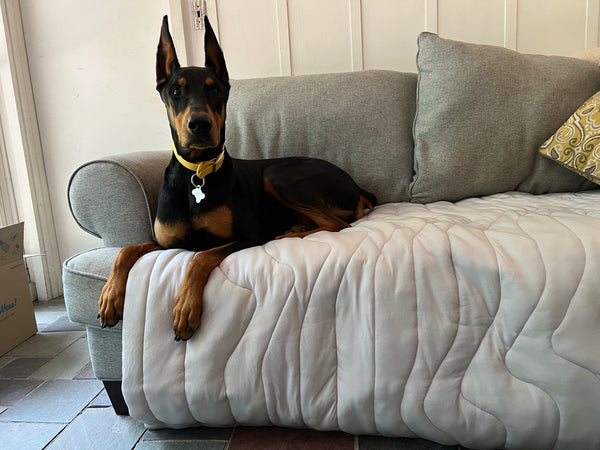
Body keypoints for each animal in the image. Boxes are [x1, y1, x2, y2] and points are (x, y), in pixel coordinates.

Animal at [97, 16, 376, 342]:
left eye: (215, 90)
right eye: (176, 91)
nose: (200, 125)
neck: (197, 173)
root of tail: (355, 184)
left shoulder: (246, 236)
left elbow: (201, 257)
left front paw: (185, 308)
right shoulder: (166, 241)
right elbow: (126, 250)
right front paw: (109, 297)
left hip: (276, 174)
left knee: (337, 224)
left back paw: (288, 233)